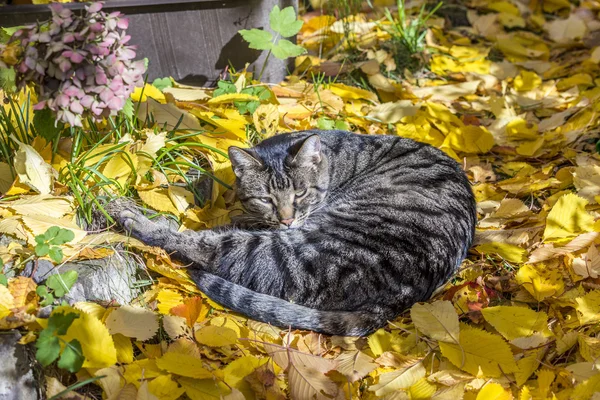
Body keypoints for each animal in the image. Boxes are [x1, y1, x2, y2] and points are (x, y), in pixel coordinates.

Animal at [105, 130, 476, 336]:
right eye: (266, 199)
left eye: (300, 194)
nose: (285, 220)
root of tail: (402, 296)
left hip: (285, 251)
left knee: (202, 245)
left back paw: (130, 214)